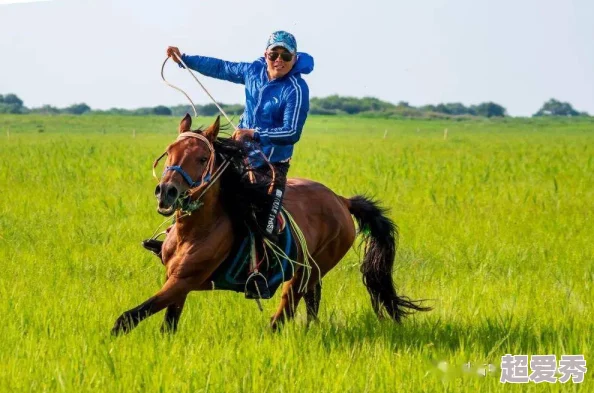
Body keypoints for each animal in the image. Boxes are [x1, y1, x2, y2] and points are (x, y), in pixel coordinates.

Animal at [110, 113, 426, 334]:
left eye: (202, 158)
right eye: (169, 152)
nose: (167, 191)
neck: (196, 230)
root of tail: (341, 200)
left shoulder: (184, 280)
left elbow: (129, 317)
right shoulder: (175, 281)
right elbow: (167, 326)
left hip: (308, 270)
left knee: (286, 308)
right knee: (310, 302)